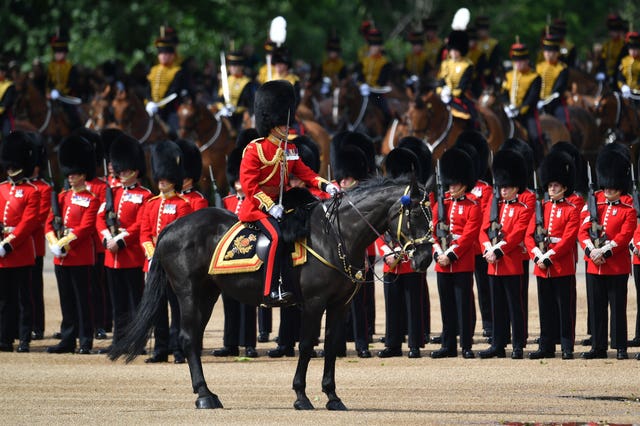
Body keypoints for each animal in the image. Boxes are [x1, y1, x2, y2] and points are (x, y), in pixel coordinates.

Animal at [110, 176, 432, 410]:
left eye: (431, 215)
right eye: (416, 213)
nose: (425, 258)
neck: (335, 236)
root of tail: (172, 227)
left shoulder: (340, 305)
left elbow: (330, 346)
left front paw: (332, 397)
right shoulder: (314, 303)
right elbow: (306, 345)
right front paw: (301, 396)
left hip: (208, 293)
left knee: (194, 337)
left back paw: (206, 392)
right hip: (188, 292)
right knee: (188, 337)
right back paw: (204, 395)